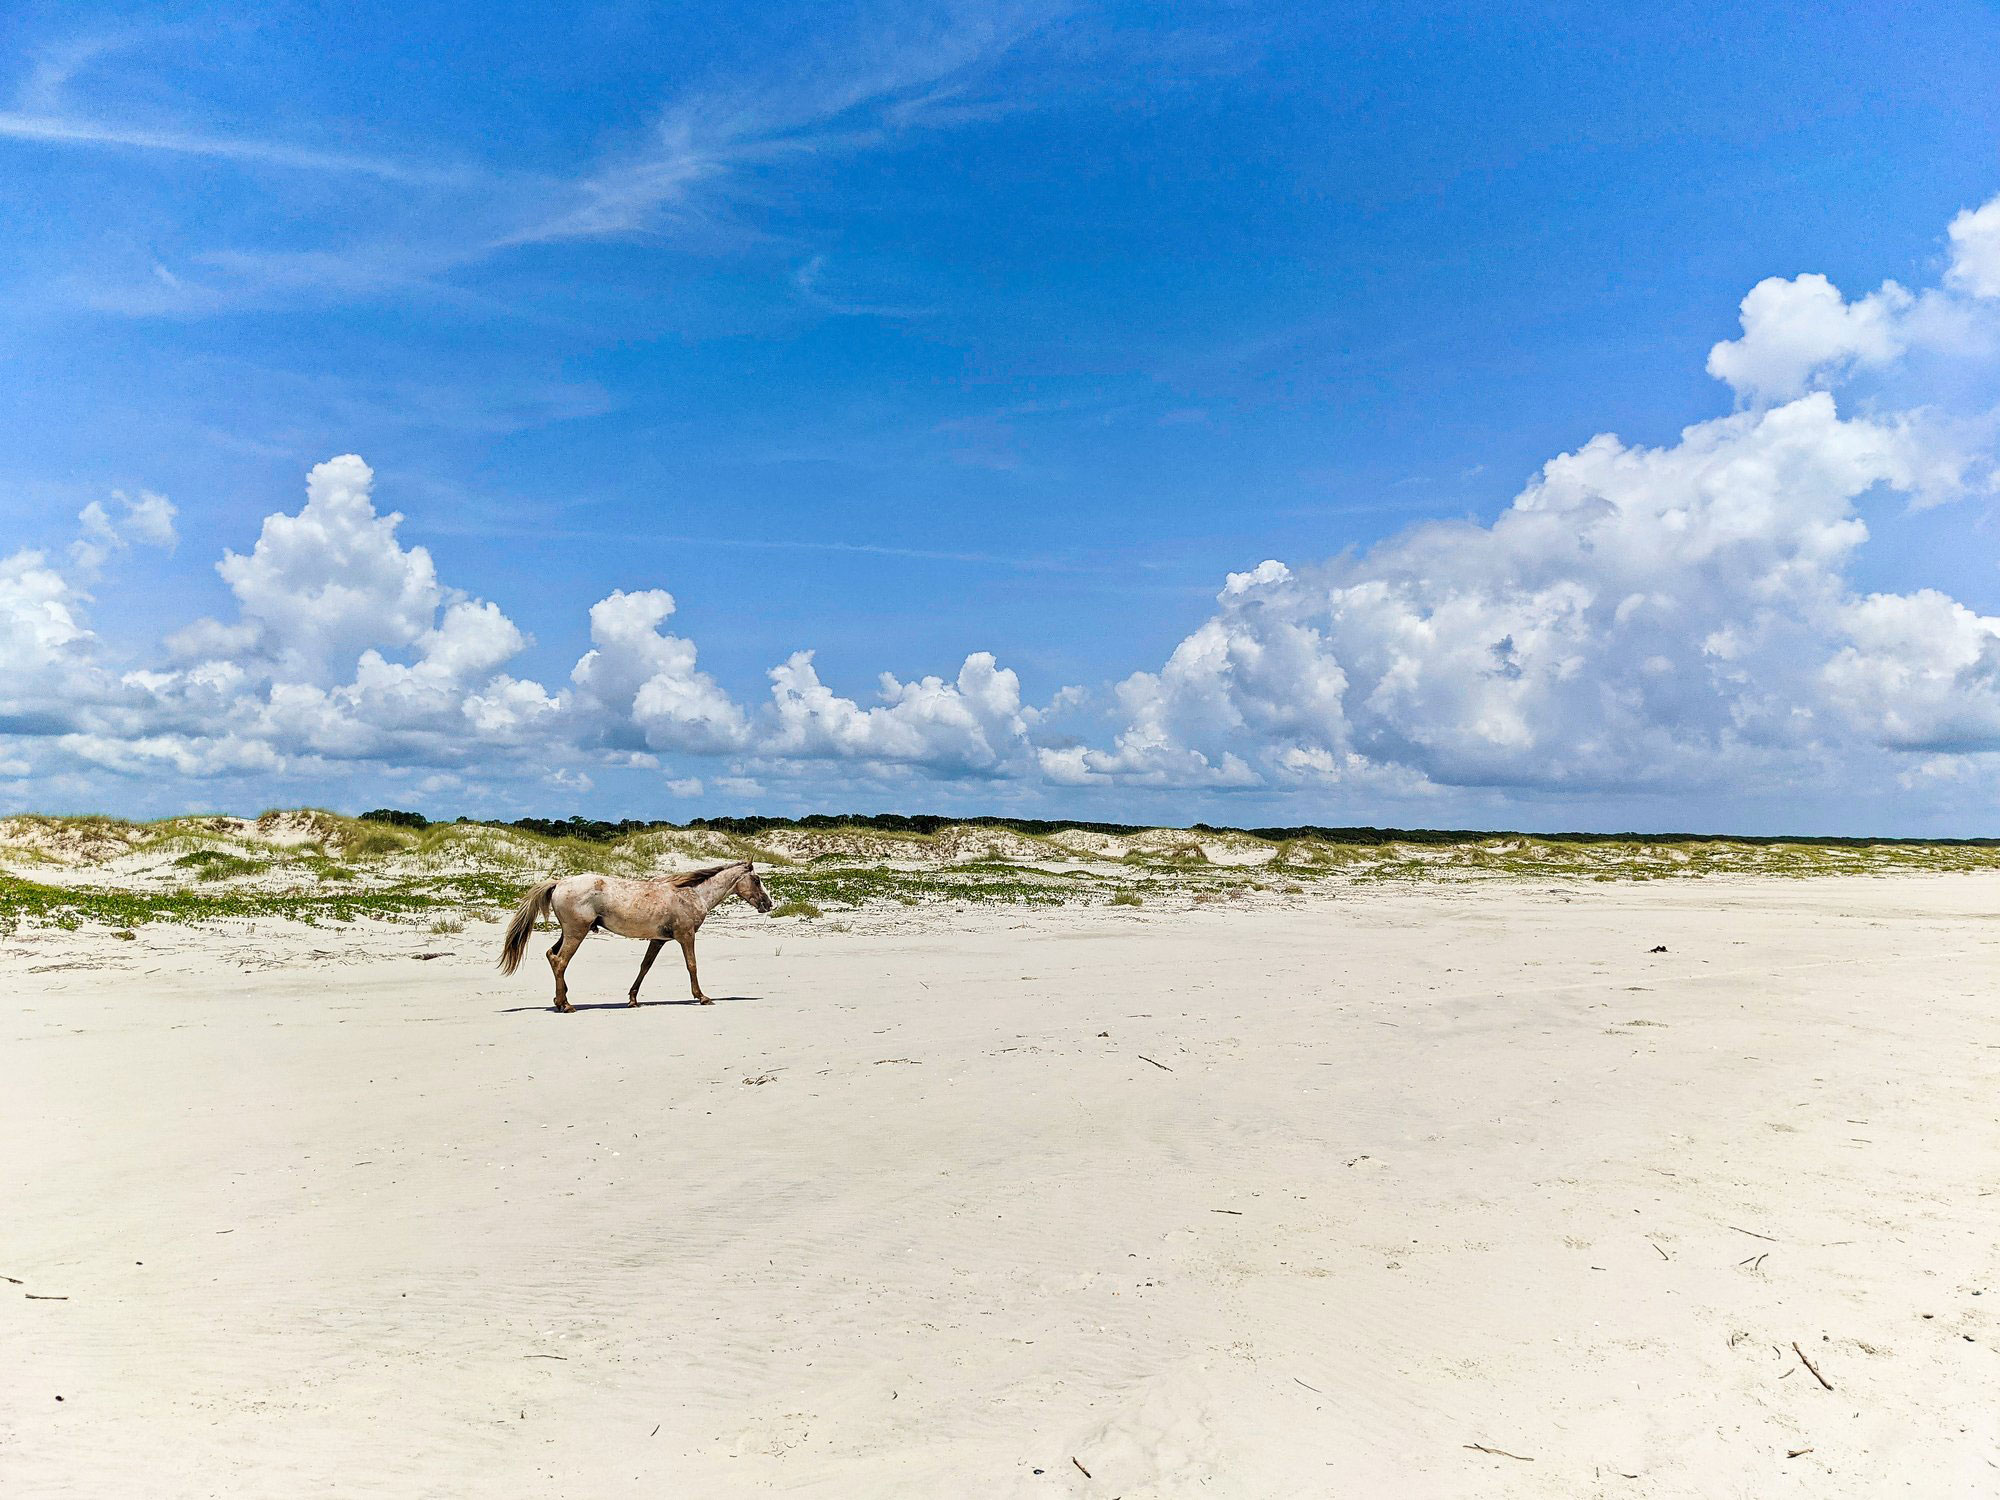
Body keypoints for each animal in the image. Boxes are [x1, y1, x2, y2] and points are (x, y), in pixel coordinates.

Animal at [498, 861, 774, 1012]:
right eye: (757, 879)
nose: (768, 904)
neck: (692, 893)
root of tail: (560, 882)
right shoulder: (686, 936)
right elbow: (692, 965)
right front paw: (702, 997)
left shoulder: (658, 940)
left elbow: (645, 966)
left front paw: (632, 999)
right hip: (577, 933)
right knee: (560, 961)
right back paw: (565, 1005)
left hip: (570, 932)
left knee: (551, 955)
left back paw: (559, 999)